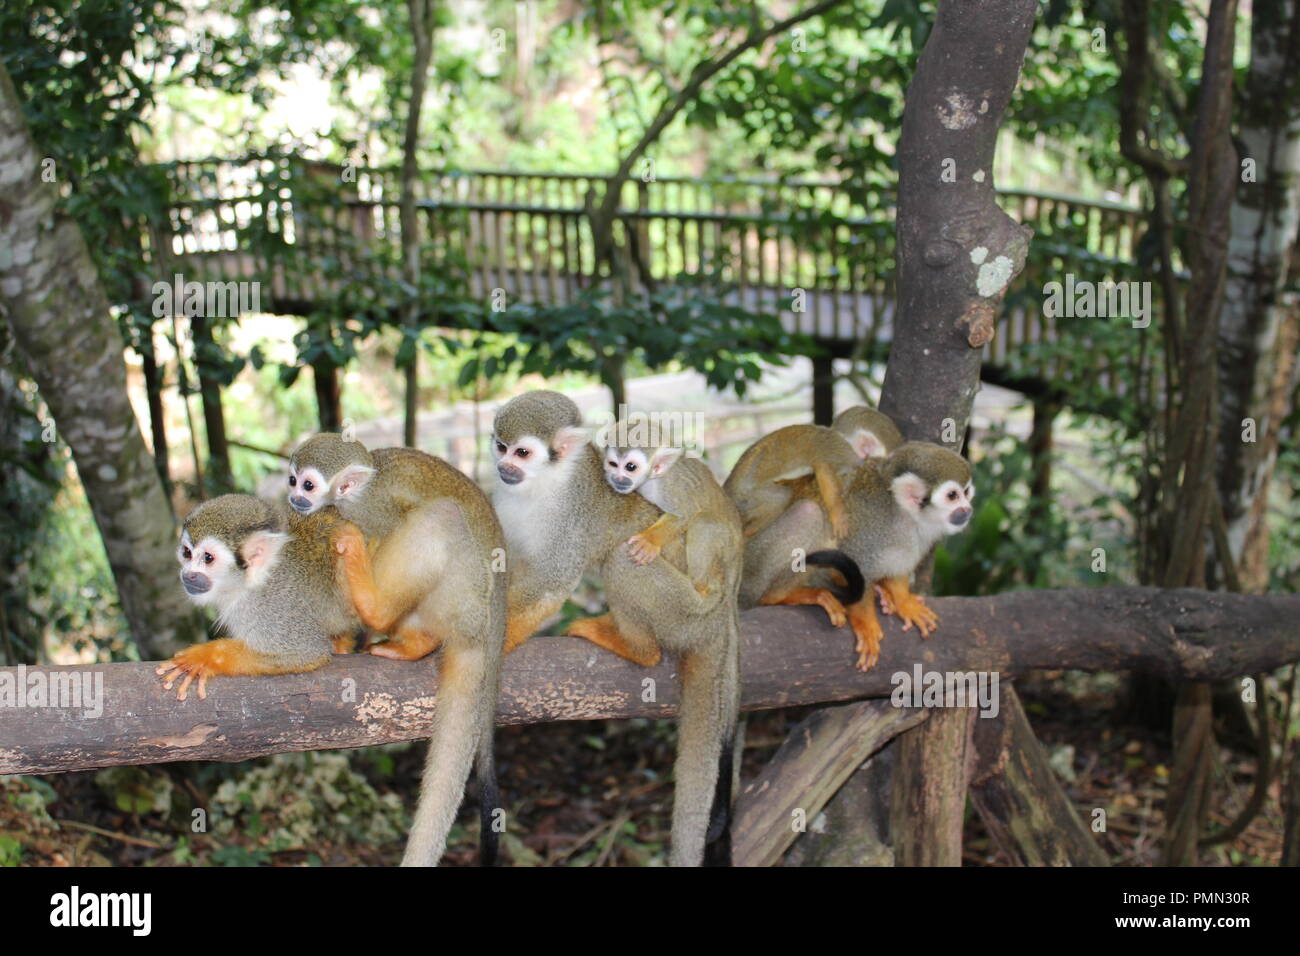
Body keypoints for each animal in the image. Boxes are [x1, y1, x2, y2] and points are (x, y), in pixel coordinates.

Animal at [165, 494, 364, 702]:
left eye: (208, 558)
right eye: (187, 553)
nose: (188, 575)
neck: (251, 581)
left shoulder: (267, 607)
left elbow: (306, 652)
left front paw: (206, 657)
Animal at [287, 437, 504, 868]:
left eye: (308, 484)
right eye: (292, 479)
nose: (293, 497)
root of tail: (482, 629)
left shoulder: (370, 509)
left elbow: (387, 529)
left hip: (461, 597)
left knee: (441, 517)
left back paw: (377, 609)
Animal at [491, 392, 743, 868]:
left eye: (523, 453)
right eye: (500, 446)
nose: (502, 467)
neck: (544, 485)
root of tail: (720, 620)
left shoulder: (569, 516)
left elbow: (551, 582)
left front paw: (500, 641)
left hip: (684, 611)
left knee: (623, 560)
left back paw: (638, 647)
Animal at [728, 403, 899, 538]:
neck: (841, 436)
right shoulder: (843, 453)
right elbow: (823, 467)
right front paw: (837, 512)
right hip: (747, 496)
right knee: (782, 496)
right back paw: (747, 532)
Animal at [743, 444, 977, 671]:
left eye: (966, 492)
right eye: (953, 496)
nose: (967, 509)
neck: (903, 514)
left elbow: (898, 567)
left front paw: (903, 600)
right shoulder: (871, 529)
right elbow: (854, 565)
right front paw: (865, 623)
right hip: (755, 570)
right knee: (810, 514)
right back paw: (781, 596)